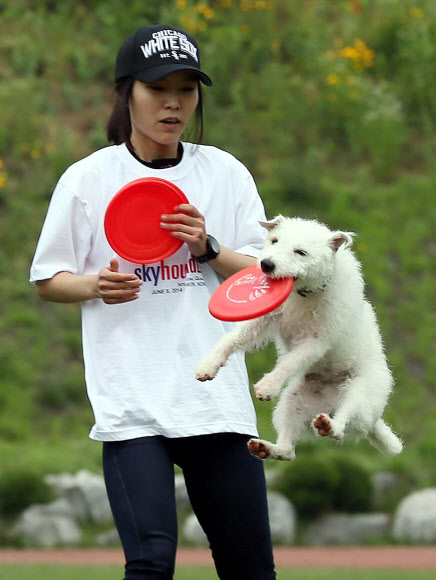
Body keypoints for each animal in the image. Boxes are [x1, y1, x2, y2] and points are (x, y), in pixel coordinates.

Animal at [197, 215, 402, 460]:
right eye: (274, 240)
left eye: (301, 252)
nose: (266, 264)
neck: (304, 293)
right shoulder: (263, 318)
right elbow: (232, 339)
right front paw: (209, 364)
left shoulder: (316, 341)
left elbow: (290, 362)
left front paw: (268, 385)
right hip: (293, 401)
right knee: (288, 451)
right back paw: (267, 448)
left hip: (358, 393)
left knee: (342, 426)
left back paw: (330, 426)